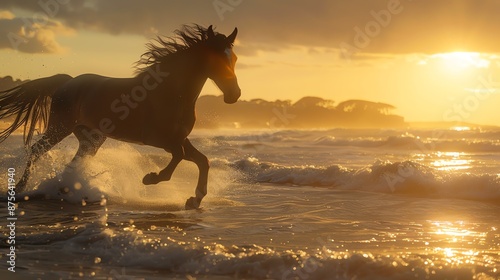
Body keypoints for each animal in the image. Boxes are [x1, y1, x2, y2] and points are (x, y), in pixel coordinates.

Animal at [0, 25, 242, 209]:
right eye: (217, 60)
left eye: (235, 58)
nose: (234, 95)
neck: (170, 93)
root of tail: (67, 82)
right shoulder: (159, 139)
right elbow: (180, 156)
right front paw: (150, 178)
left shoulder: (180, 138)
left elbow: (203, 161)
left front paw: (194, 199)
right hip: (60, 126)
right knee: (36, 150)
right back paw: (20, 189)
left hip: (92, 138)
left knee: (75, 161)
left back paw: (65, 189)